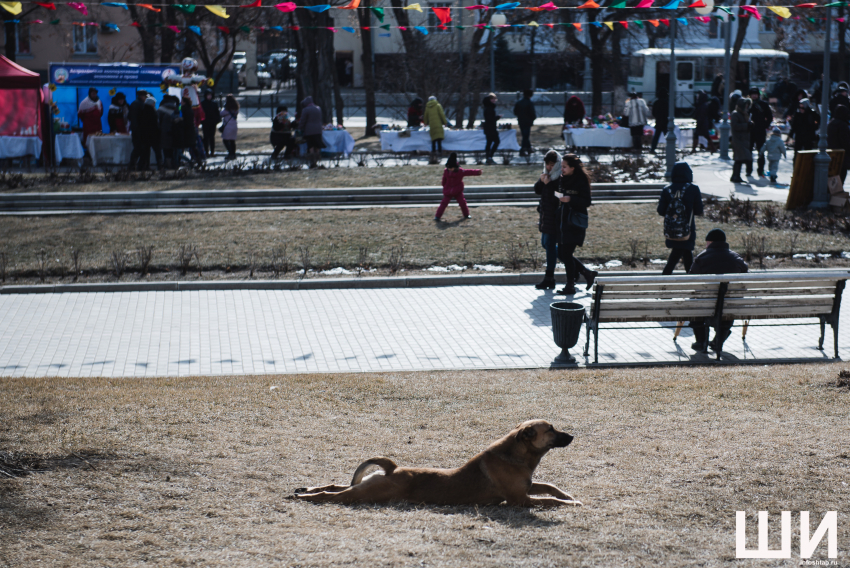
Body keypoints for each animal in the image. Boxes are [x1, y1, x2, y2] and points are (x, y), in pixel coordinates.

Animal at [294, 420, 580, 508]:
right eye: (551, 429)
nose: (572, 436)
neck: (517, 454)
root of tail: (393, 468)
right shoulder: (520, 499)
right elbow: (549, 499)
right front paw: (570, 503)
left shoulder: (527, 488)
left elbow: (550, 487)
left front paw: (567, 495)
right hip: (365, 494)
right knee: (331, 496)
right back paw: (308, 496)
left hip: (365, 485)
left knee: (335, 486)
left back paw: (305, 489)